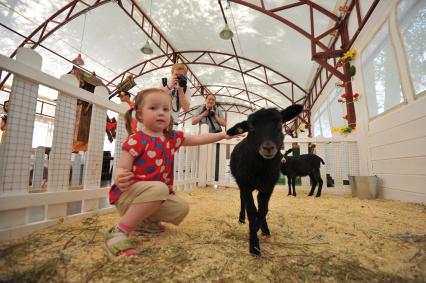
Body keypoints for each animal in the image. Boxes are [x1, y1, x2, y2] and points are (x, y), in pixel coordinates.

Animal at [226, 105, 302, 258]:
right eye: (251, 127)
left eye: (280, 124)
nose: (268, 147)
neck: (261, 167)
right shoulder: (246, 185)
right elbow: (251, 211)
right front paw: (254, 245)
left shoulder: (268, 187)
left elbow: (263, 210)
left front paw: (259, 230)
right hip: (240, 182)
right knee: (242, 200)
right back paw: (241, 219)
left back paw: (264, 229)